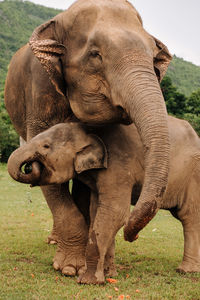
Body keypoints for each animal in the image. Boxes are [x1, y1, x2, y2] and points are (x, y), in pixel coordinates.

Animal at [4, 0, 171, 282]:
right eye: (95, 55)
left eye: (153, 60)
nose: (132, 236)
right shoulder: (41, 89)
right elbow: (54, 181)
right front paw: (69, 268)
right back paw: (54, 241)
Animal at [7, 116, 200, 282]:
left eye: (46, 146)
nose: (31, 167)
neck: (88, 131)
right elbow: (96, 211)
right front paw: (108, 274)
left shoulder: (119, 165)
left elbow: (115, 212)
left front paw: (88, 280)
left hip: (193, 177)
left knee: (189, 217)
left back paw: (186, 271)